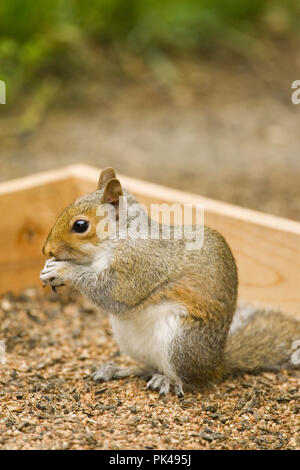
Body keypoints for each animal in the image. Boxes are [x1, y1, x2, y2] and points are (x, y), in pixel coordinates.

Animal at [39, 167, 300, 394]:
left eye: (80, 225)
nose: (46, 250)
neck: (119, 238)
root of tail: (216, 364)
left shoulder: (139, 264)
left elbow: (113, 293)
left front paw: (64, 270)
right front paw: (49, 269)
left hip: (181, 342)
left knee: (190, 381)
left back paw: (169, 382)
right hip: (131, 340)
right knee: (148, 366)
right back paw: (119, 369)